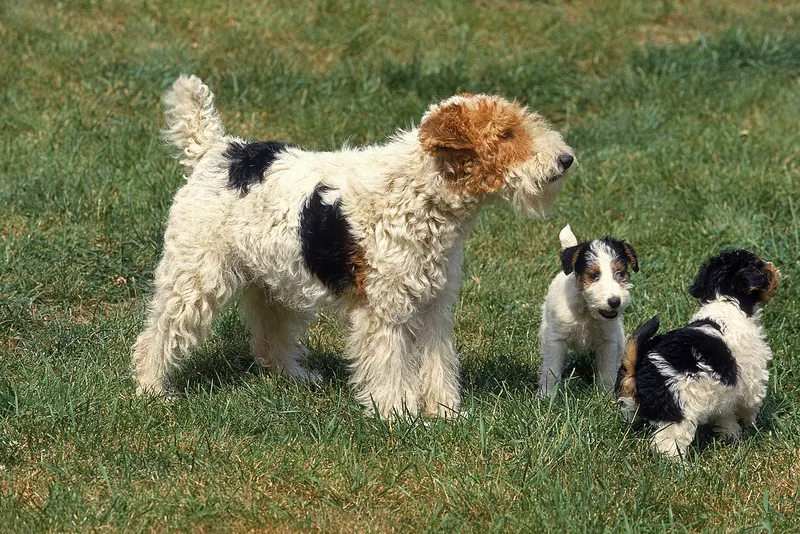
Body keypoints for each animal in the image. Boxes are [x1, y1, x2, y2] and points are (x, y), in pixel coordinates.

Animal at [536, 226, 636, 398]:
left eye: (620, 273)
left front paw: (606, 395)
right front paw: (546, 396)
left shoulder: (608, 342)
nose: (615, 301)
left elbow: (607, 371)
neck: (587, 311)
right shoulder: (555, 340)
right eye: (594, 275)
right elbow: (551, 370)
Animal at [616, 251, 780, 460]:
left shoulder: (724, 392)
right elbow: (749, 405)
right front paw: (750, 426)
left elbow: (725, 416)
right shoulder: (752, 379)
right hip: (678, 412)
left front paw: (731, 434)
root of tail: (639, 368)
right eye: (760, 266)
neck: (724, 300)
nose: (773, 267)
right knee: (668, 442)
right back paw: (676, 464)